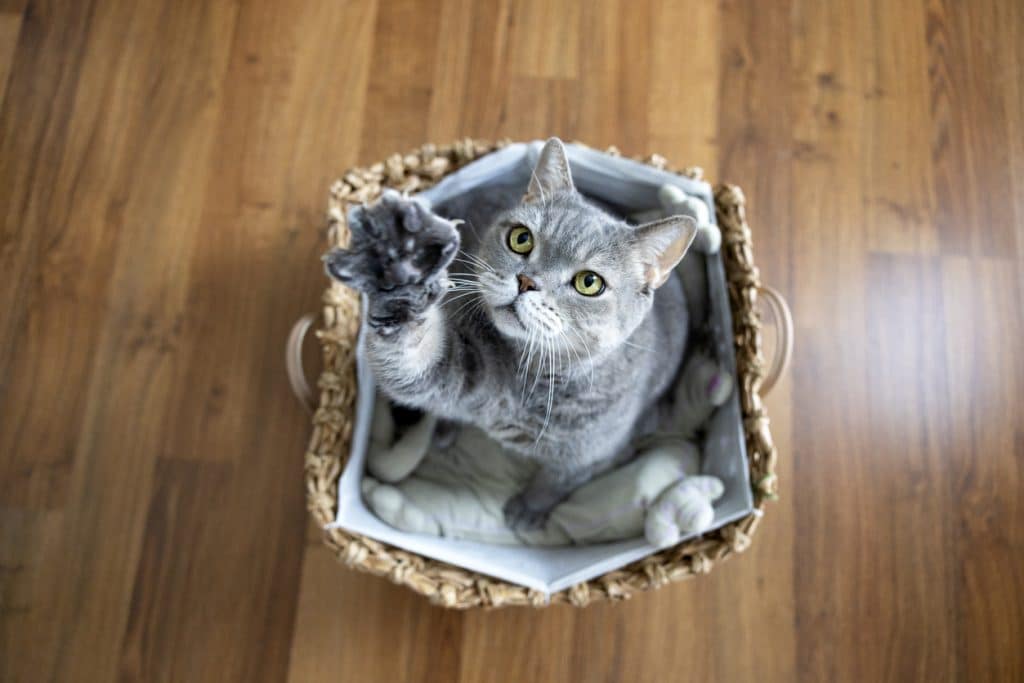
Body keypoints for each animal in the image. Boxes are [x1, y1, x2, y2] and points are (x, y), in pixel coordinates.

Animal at [325, 139, 696, 532]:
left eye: (589, 282)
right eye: (521, 239)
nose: (526, 281)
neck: (535, 377)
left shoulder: (593, 456)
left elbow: (556, 481)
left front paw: (528, 510)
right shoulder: (458, 369)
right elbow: (414, 356)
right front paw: (399, 281)